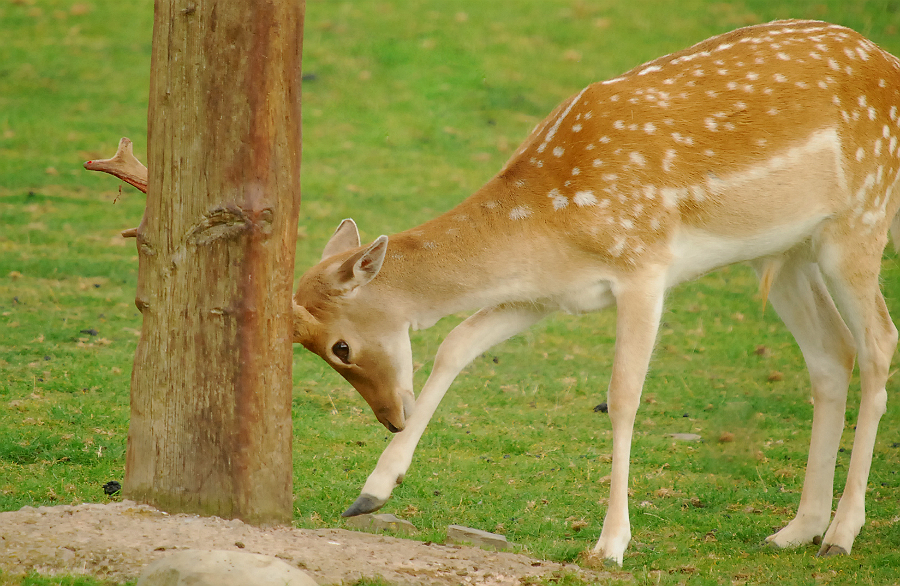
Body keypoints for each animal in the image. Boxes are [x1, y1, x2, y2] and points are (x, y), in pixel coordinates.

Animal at [292, 20, 900, 566]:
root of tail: (888, 60)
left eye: (340, 347)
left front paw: (610, 545)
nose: (391, 415)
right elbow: (456, 343)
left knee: (878, 343)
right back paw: (797, 530)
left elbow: (623, 395)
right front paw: (370, 493)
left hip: (859, 223)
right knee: (832, 352)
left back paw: (841, 533)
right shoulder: (546, 294)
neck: (547, 220)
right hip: (782, 251)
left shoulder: (644, 266)